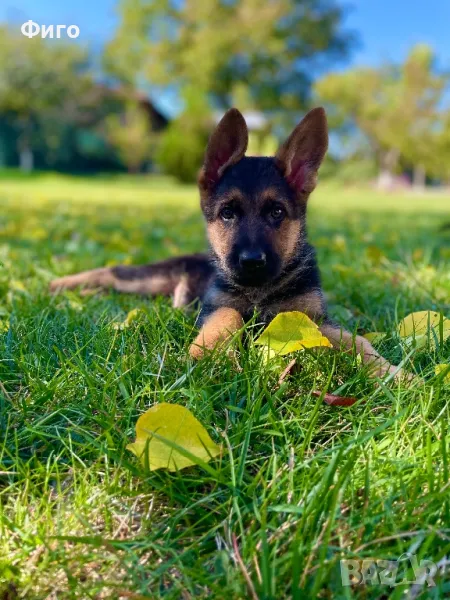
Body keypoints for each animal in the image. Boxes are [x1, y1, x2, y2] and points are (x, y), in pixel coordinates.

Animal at [51, 106, 402, 380]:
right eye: (228, 213)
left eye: (277, 212)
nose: (252, 261)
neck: (260, 292)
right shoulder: (217, 305)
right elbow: (228, 316)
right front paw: (206, 355)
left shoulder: (314, 319)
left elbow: (357, 341)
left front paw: (393, 374)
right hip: (149, 277)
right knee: (111, 272)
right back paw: (59, 285)